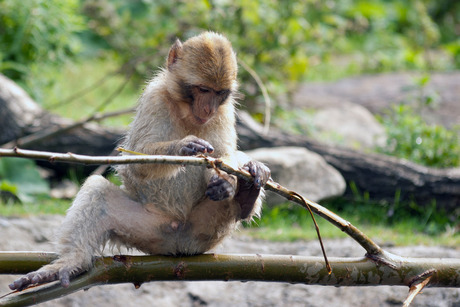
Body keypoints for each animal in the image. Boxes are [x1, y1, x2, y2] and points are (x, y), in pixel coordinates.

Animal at [9, 32, 270, 292]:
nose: (208, 109)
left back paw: (247, 194)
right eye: (203, 89)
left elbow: (225, 156)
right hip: (151, 229)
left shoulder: (225, 111)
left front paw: (228, 181)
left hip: (207, 229)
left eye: (219, 93)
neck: (186, 111)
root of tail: (179, 245)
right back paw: (72, 261)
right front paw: (183, 147)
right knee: (97, 190)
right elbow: (134, 163)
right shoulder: (154, 97)